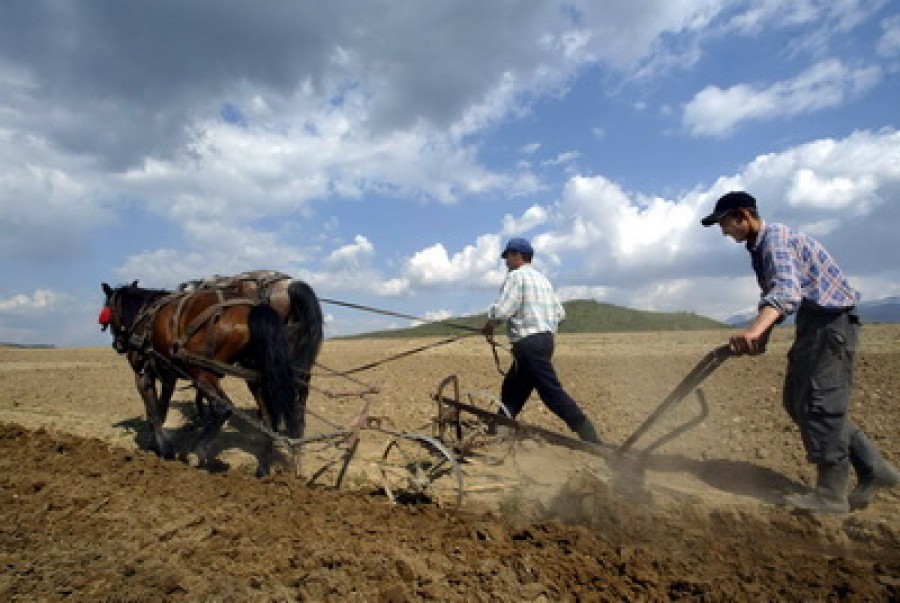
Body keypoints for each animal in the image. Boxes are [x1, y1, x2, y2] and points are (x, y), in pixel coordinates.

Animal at [100, 282, 298, 476]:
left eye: (108, 311)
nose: (118, 345)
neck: (145, 314)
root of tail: (251, 309)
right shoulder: (168, 377)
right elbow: (161, 410)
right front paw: (155, 445)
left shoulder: (142, 374)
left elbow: (154, 413)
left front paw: (163, 449)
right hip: (254, 377)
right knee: (268, 418)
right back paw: (262, 469)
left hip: (202, 372)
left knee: (223, 408)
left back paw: (197, 452)